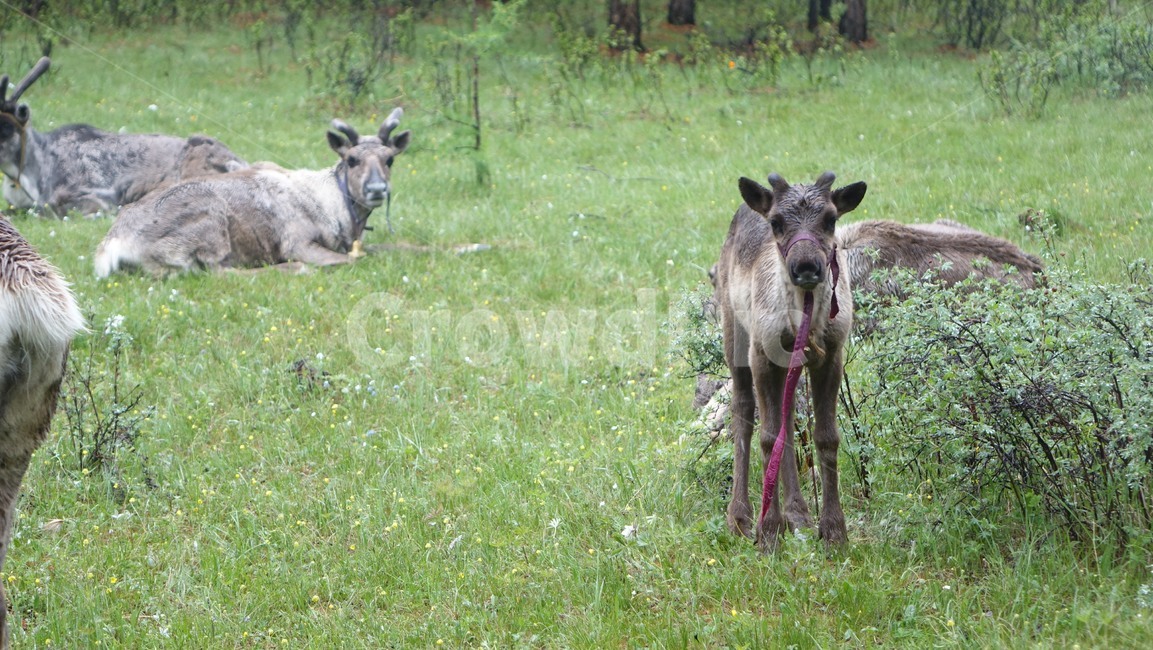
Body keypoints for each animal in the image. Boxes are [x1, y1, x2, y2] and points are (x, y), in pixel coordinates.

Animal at [93, 109, 411, 277]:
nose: (377, 189)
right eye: (352, 159)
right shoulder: (297, 242)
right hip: (208, 224)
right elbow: (352, 259)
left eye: (390, 159)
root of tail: (112, 246)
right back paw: (293, 268)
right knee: (221, 273)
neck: (338, 212)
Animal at [714, 171, 867, 550]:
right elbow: (768, 437)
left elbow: (825, 437)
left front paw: (834, 530)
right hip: (734, 332)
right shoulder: (761, 353)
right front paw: (768, 534)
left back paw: (797, 513)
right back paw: (740, 516)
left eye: (831, 219)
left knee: (787, 416)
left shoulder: (832, 355)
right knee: (743, 411)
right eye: (776, 222)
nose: (807, 267)